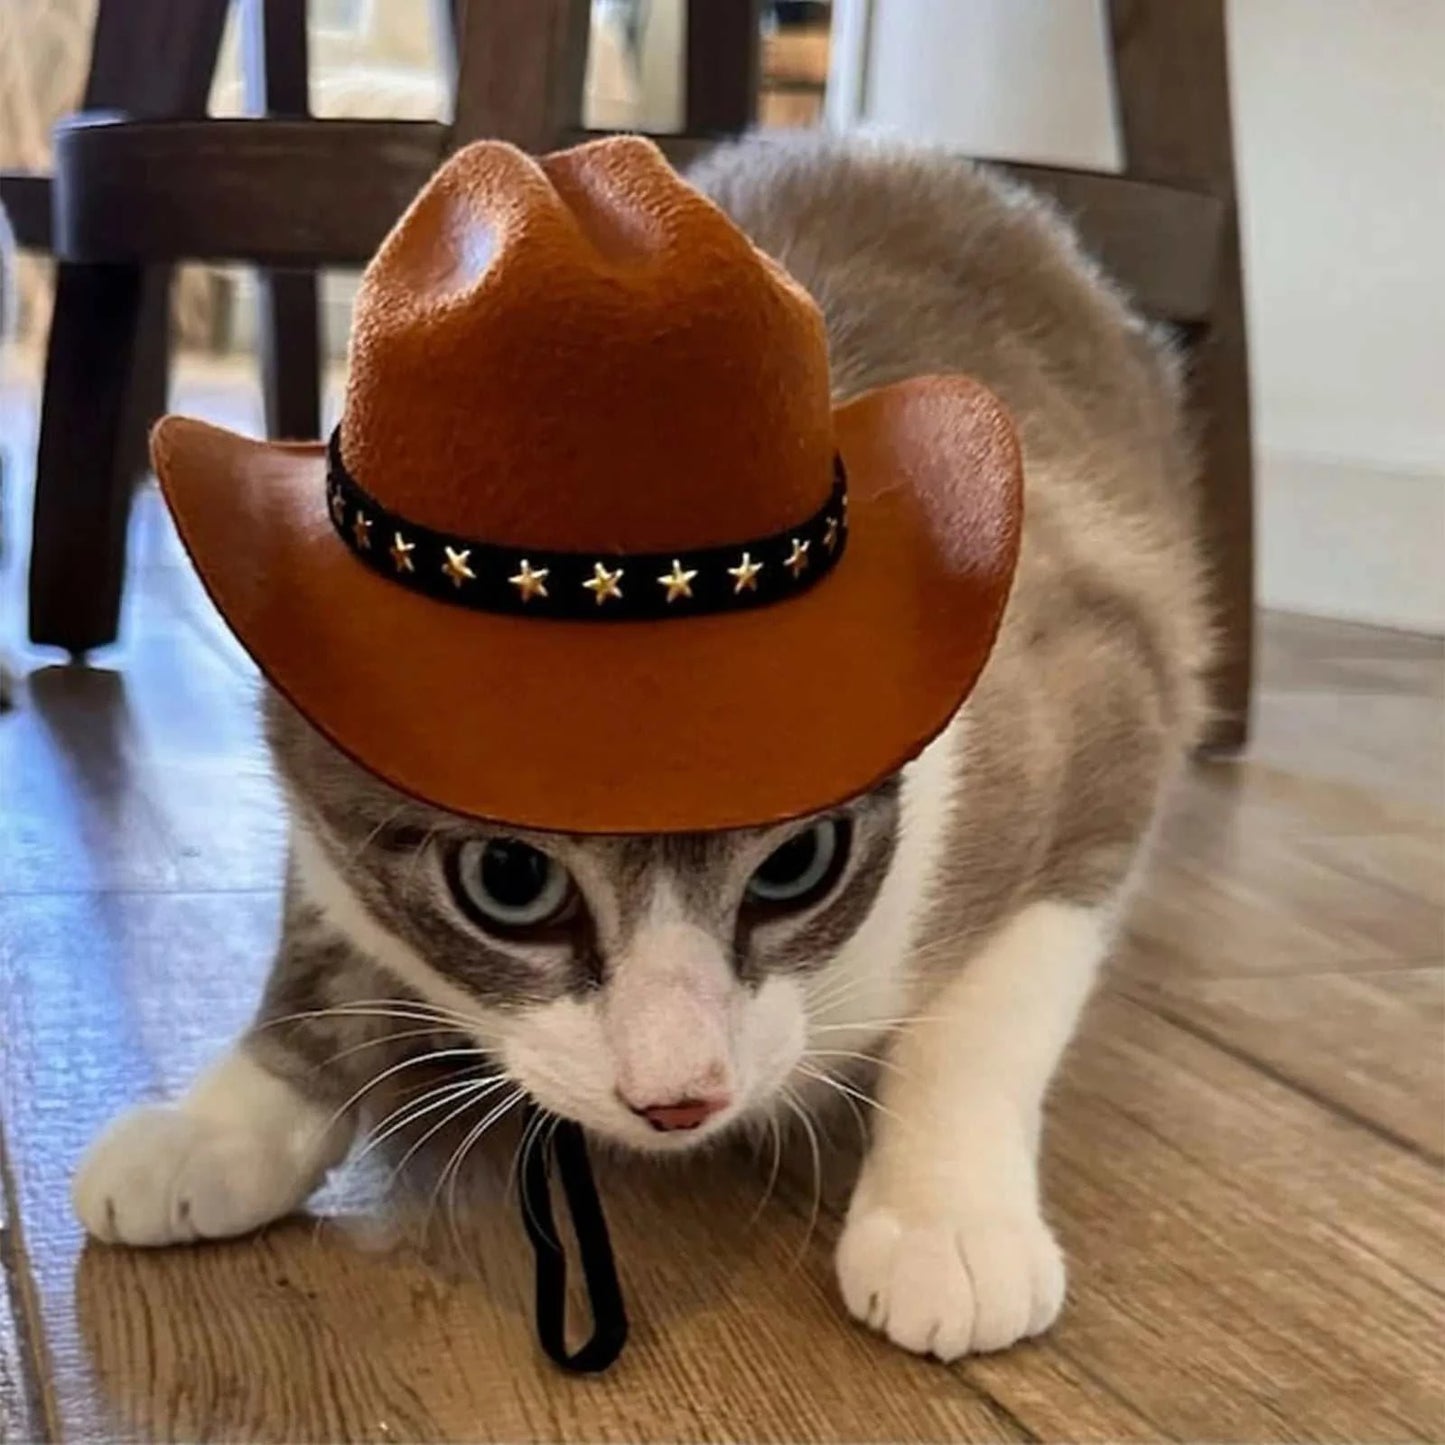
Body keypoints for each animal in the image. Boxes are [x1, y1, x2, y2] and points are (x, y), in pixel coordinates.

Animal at [70, 130, 1208, 1358]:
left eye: (798, 864)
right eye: (507, 879)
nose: (679, 1098)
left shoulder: (1093, 710)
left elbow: (988, 1009)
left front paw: (944, 1219)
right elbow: (319, 958)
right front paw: (219, 1126)